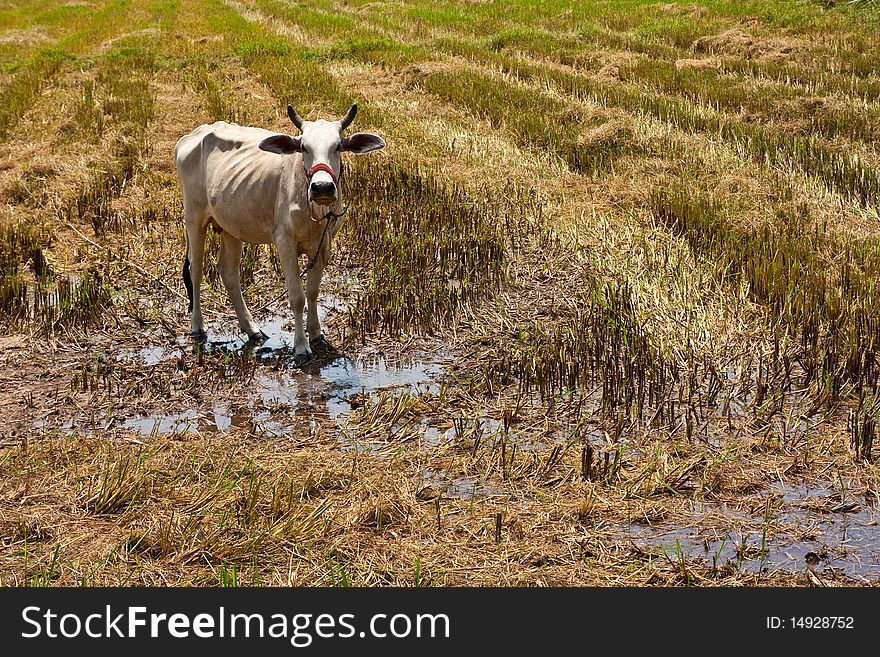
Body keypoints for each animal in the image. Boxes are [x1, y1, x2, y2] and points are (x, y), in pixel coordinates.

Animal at [175, 105, 384, 366]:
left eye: (338, 146)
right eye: (303, 147)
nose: (322, 187)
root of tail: (193, 136)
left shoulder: (321, 245)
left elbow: (313, 291)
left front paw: (316, 334)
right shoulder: (285, 243)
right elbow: (297, 297)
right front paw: (301, 347)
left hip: (232, 225)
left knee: (229, 273)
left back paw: (251, 328)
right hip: (194, 218)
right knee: (196, 269)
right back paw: (197, 327)